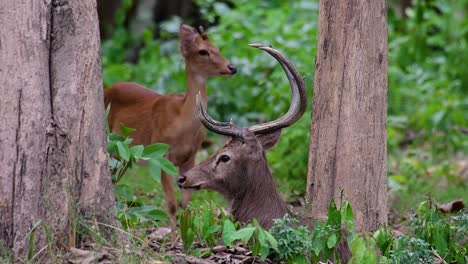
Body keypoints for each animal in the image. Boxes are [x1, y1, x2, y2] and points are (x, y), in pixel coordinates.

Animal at [106, 24, 238, 235]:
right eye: (203, 51)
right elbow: (172, 204)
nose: (232, 67)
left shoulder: (190, 157)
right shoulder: (161, 157)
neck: (181, 122)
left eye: (217, 48)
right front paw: (173, 238)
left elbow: (186, 204)